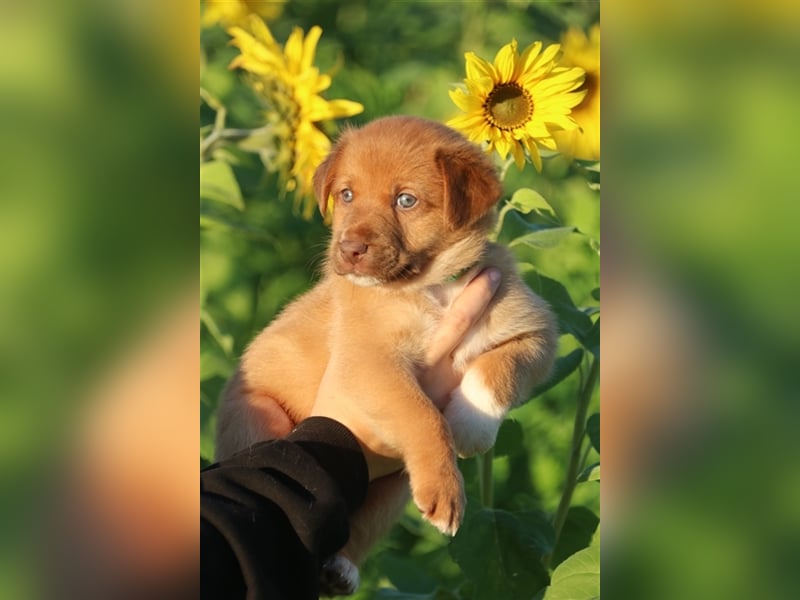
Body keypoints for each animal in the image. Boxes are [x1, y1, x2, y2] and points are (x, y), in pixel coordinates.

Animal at [216, 115, 560, 592]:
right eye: (346, 195)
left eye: (406, 200)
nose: (349, 249)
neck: (432, 290)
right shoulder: (368, 361)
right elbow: (422, 413)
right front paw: (448, 485)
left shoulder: (536, 331)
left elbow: (497, 370)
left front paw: (470, 429)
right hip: (258, 421)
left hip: (393, 490)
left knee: (356, 529)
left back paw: (340, 570)